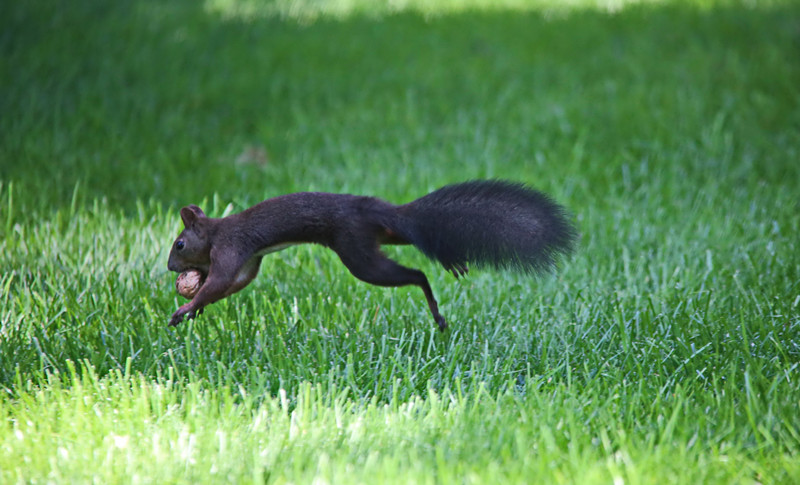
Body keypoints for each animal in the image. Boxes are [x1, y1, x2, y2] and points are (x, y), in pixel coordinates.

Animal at [167, 180, 576, 330]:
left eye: (179, 244)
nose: (171, 267)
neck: (215, 231)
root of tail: (377, 211)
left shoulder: (232, 248)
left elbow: (220, 281)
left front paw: (186, 308)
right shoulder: (248, 262)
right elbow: (232, 284)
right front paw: (196, 308)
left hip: (358, 254)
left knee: (415, 275)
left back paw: (436, 310)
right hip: (381, 240)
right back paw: (451, 261)